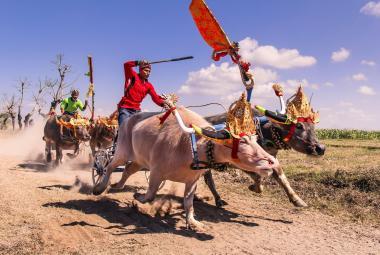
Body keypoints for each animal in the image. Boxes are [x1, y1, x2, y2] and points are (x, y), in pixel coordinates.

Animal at [92, 106, 280, 230]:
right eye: (242, 141)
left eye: (255, 139)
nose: (272, 163)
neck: (192, 146)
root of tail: (127, 122)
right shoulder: (156, 172)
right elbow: (150, 195)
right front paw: (137, 198)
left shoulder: (192, 180)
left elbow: (188, 203)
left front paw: (192, 222)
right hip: (123, 151)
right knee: (110, 166)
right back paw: (99, 187)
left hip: (140, 160)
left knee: (128, 169)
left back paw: (116, 186)